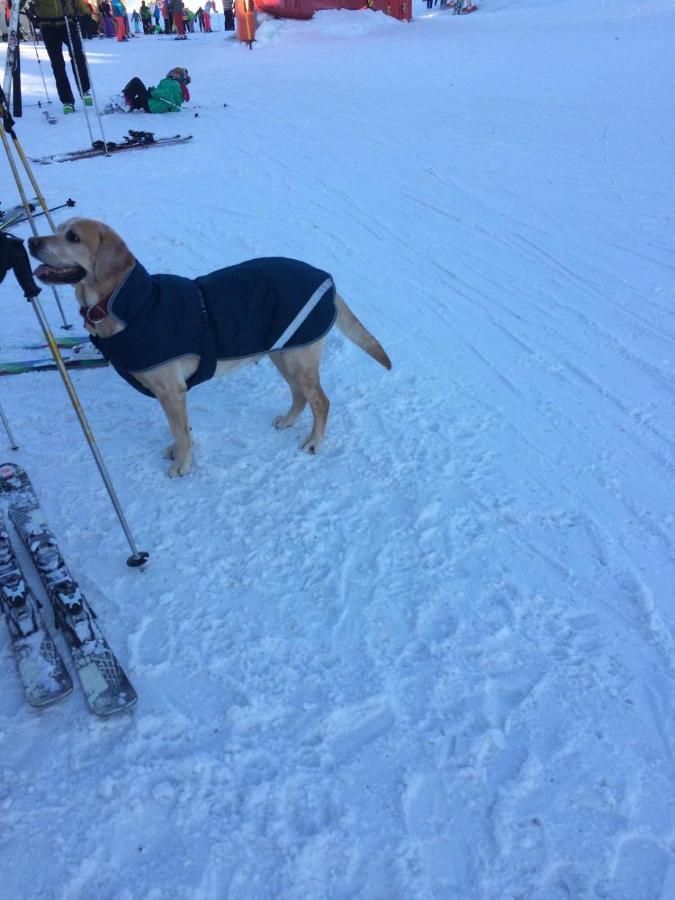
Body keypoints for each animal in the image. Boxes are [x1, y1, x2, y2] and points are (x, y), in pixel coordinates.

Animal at [29, 219, 394, 478]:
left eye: (72, 237)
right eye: (56, 229)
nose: (31, 241)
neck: (127, 304)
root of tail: (327, 279)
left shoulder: (171, 391)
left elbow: (180, 431)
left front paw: (183, 465)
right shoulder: (173, 394)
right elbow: (182, 430)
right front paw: (180, 450)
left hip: (298, 360)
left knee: (321, 401)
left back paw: (315, 441)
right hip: (283, 354)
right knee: (301, 397)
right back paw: (288, 421)